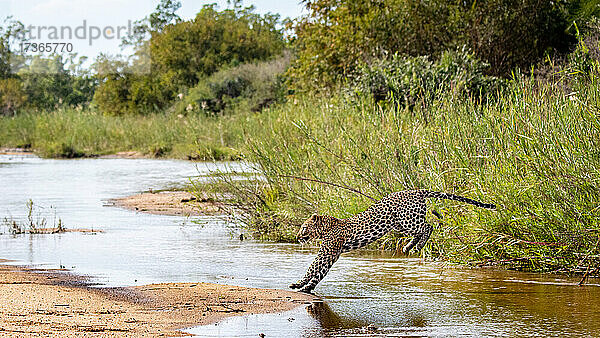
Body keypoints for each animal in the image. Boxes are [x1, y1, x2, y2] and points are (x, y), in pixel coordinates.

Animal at [288, 189, 494, 294]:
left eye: (304, 228)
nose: (297, 237)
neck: (326, 228)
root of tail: (416, 190)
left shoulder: (327, 251)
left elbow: (313, 267)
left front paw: (298, 284)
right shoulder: (331, 254)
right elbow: (319, 273)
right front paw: (307, 288)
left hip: (408, 219)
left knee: (428, 226)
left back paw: (418, 246)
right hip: (400, 224)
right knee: (421, 230)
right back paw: (408, 247)